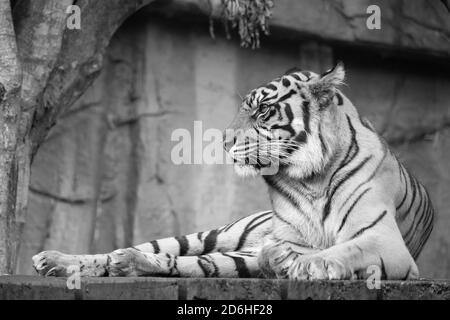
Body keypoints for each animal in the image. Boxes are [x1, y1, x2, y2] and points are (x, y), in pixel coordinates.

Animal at [31, 62, 432, 280]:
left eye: (263, 111)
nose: (223, 141)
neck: (309, 179)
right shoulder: (288, 240)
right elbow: (298, 251)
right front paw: (288, 261)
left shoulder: (384, 240)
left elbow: (341, 250)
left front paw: (306, 265)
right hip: (212, 236)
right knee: (155, 251)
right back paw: (58, 260)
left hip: (234, 254)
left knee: (189, 263)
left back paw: (125, 264)